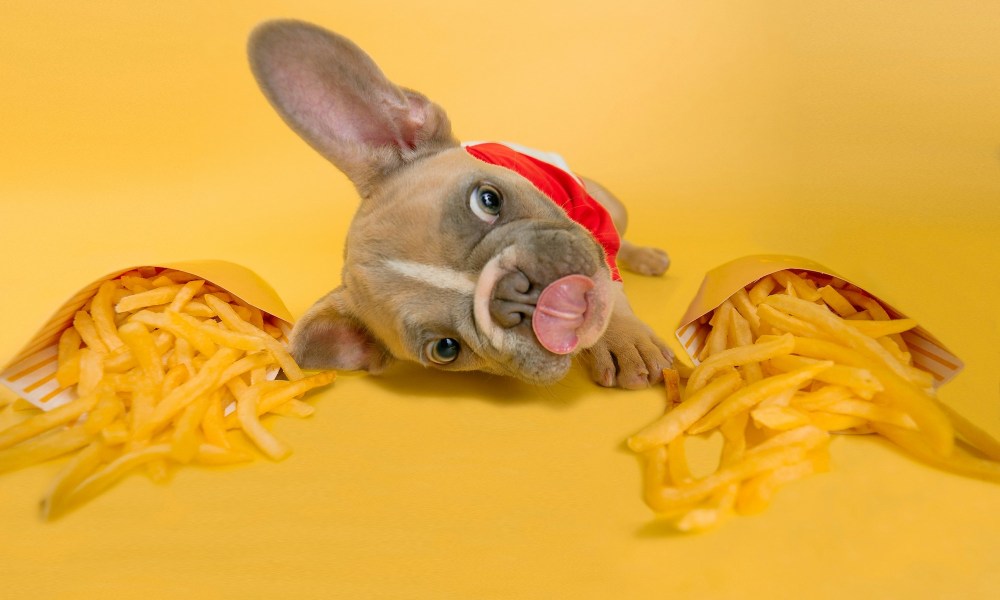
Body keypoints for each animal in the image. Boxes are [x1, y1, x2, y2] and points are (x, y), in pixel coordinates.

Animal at [246, 19, 676, 390]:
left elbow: (609, 278)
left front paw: (623, 337)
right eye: (446, 349)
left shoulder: (591, 220)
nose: (518, 294)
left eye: (488, 199)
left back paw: (646, 258)